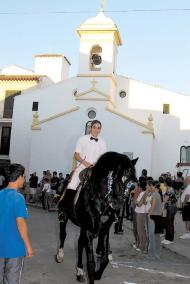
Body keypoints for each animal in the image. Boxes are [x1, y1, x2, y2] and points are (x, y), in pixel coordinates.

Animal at [55, 152, 137, 282]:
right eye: (113, 177)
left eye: (132, 185)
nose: (117, 204)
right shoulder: (88, 230)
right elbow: (91, 263)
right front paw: (92, 274)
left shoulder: (103, 230)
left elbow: (105, 259)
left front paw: (97, 274)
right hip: (65, 217)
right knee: (63, 235)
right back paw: (60, 256)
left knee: (79, 243)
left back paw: (79, 271)